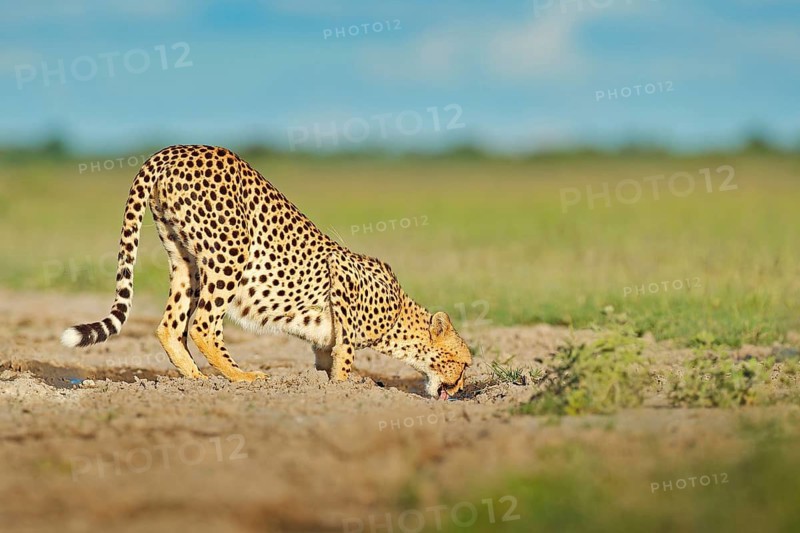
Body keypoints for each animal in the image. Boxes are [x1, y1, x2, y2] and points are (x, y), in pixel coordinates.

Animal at [61, 145, 471, 399]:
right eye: (465, 363)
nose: (462, 390)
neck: (401, 316)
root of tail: (172, 150)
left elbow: (326, 352)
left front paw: (324, 383)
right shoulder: (342, 278)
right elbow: (346, 350)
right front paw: (344, 389)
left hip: (185, 260)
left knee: (170, 326)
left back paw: (196, 381)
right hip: (230, 253)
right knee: (203, 324)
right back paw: (241, 377)